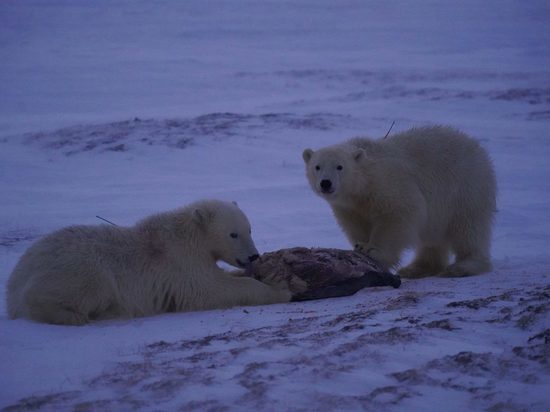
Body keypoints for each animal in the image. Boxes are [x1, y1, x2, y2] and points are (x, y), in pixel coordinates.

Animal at [6, 200, 292, 326]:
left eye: (250, 229)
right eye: (233, 234)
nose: (253, 256)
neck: (190, 234)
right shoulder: (180, 262)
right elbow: (210, 289)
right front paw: (281, 289)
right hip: (78, 266)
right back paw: (75, 315)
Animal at [304, 125, 498, 278]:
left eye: (340, 167)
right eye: (317, 166)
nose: (326, 183)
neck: (364, 183)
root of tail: (477, 147)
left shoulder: (388, 184)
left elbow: (399, 213)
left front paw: (373, 251)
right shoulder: (348, 207)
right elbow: (356, 225)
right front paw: (360, 246)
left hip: (464, 188)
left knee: (468, 227)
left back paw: (463, 266)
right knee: (432, 238)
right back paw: (416, 268)